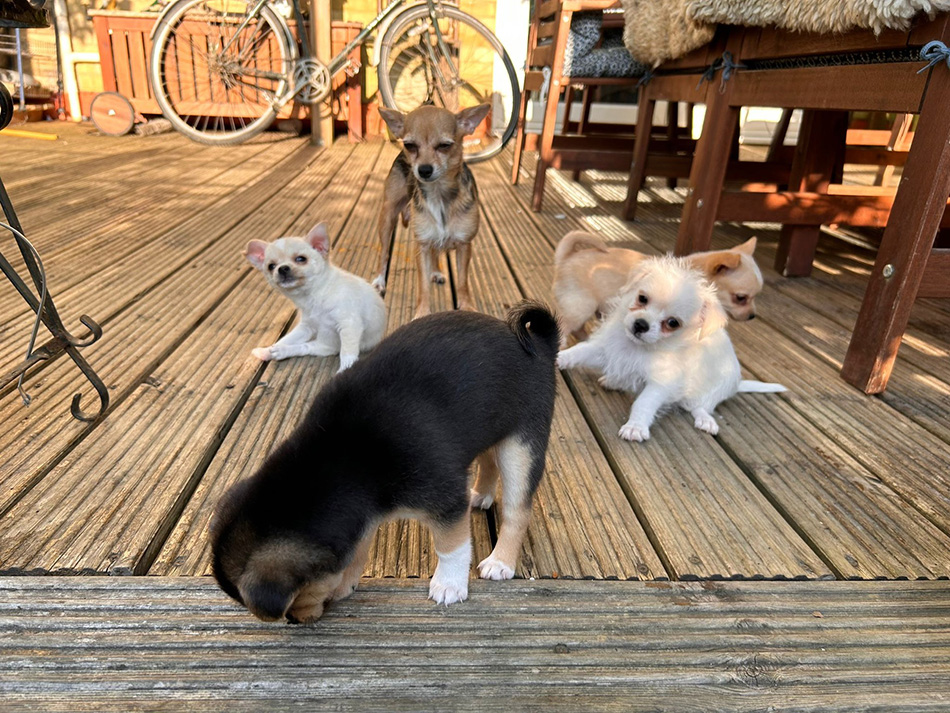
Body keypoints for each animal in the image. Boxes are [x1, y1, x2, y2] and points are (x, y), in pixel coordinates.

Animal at [212, 300, 560, 624]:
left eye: (295, 598)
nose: (295, 621)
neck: (341, 460)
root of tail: (541, 343)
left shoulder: (445, 502)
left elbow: (452, 546)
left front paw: (449, 584)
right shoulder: (363, 514)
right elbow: (359, 546)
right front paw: (347, 582)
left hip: (521, 446)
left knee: (517, 510)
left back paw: (501, 562)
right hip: (494, 427)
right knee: (488, 459)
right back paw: (481, 495)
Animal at [245, 222, 386, 370]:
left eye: (301, 259)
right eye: (271, 266)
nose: (282, 268)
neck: (313, 295)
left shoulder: (349, 324)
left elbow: (347, 353)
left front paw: (344, 370)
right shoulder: (306, 327)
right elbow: (285, 339)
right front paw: (269, 350)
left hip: (327, 345)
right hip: (322, 345)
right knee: (301, 347)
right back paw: (269, 352)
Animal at [372, 102, 490, 318]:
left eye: (445, 145)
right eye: (410, 145)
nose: (424, 170)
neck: (440, 195)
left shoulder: (464, 245)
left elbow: (462, 282)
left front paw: (467, 307)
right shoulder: (422, 246)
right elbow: (423, 286)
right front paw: (422, 313)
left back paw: (435, 270)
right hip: (387, 216)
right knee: (384, 252)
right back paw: (379, 280)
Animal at [556, 256, 788, 442]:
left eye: (672, 323)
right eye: (642, 298)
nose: (640, 325)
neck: (637, 348)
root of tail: (737, 384)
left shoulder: (661, 383)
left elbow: (643, 403)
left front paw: (635, 427)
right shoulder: (605, 349)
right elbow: (577, 352)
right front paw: (559, 357)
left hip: (714, 390)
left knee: (700, 406)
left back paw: (706, 420)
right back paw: (612, 381)